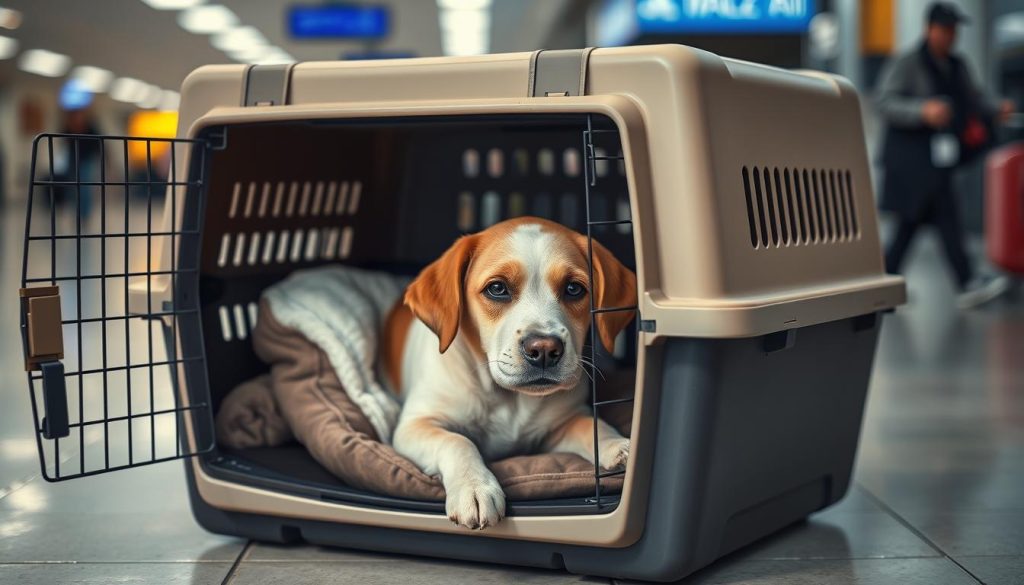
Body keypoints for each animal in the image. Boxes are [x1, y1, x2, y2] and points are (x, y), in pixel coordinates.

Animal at [380, 216, 634, 532]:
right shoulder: (414, 425)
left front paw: (616, 445)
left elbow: (589, 425)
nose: (545, 350)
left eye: (574, 289)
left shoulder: (558, 426)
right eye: (497, 288)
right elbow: (457, 441)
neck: (507, 397)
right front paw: (475, 488)